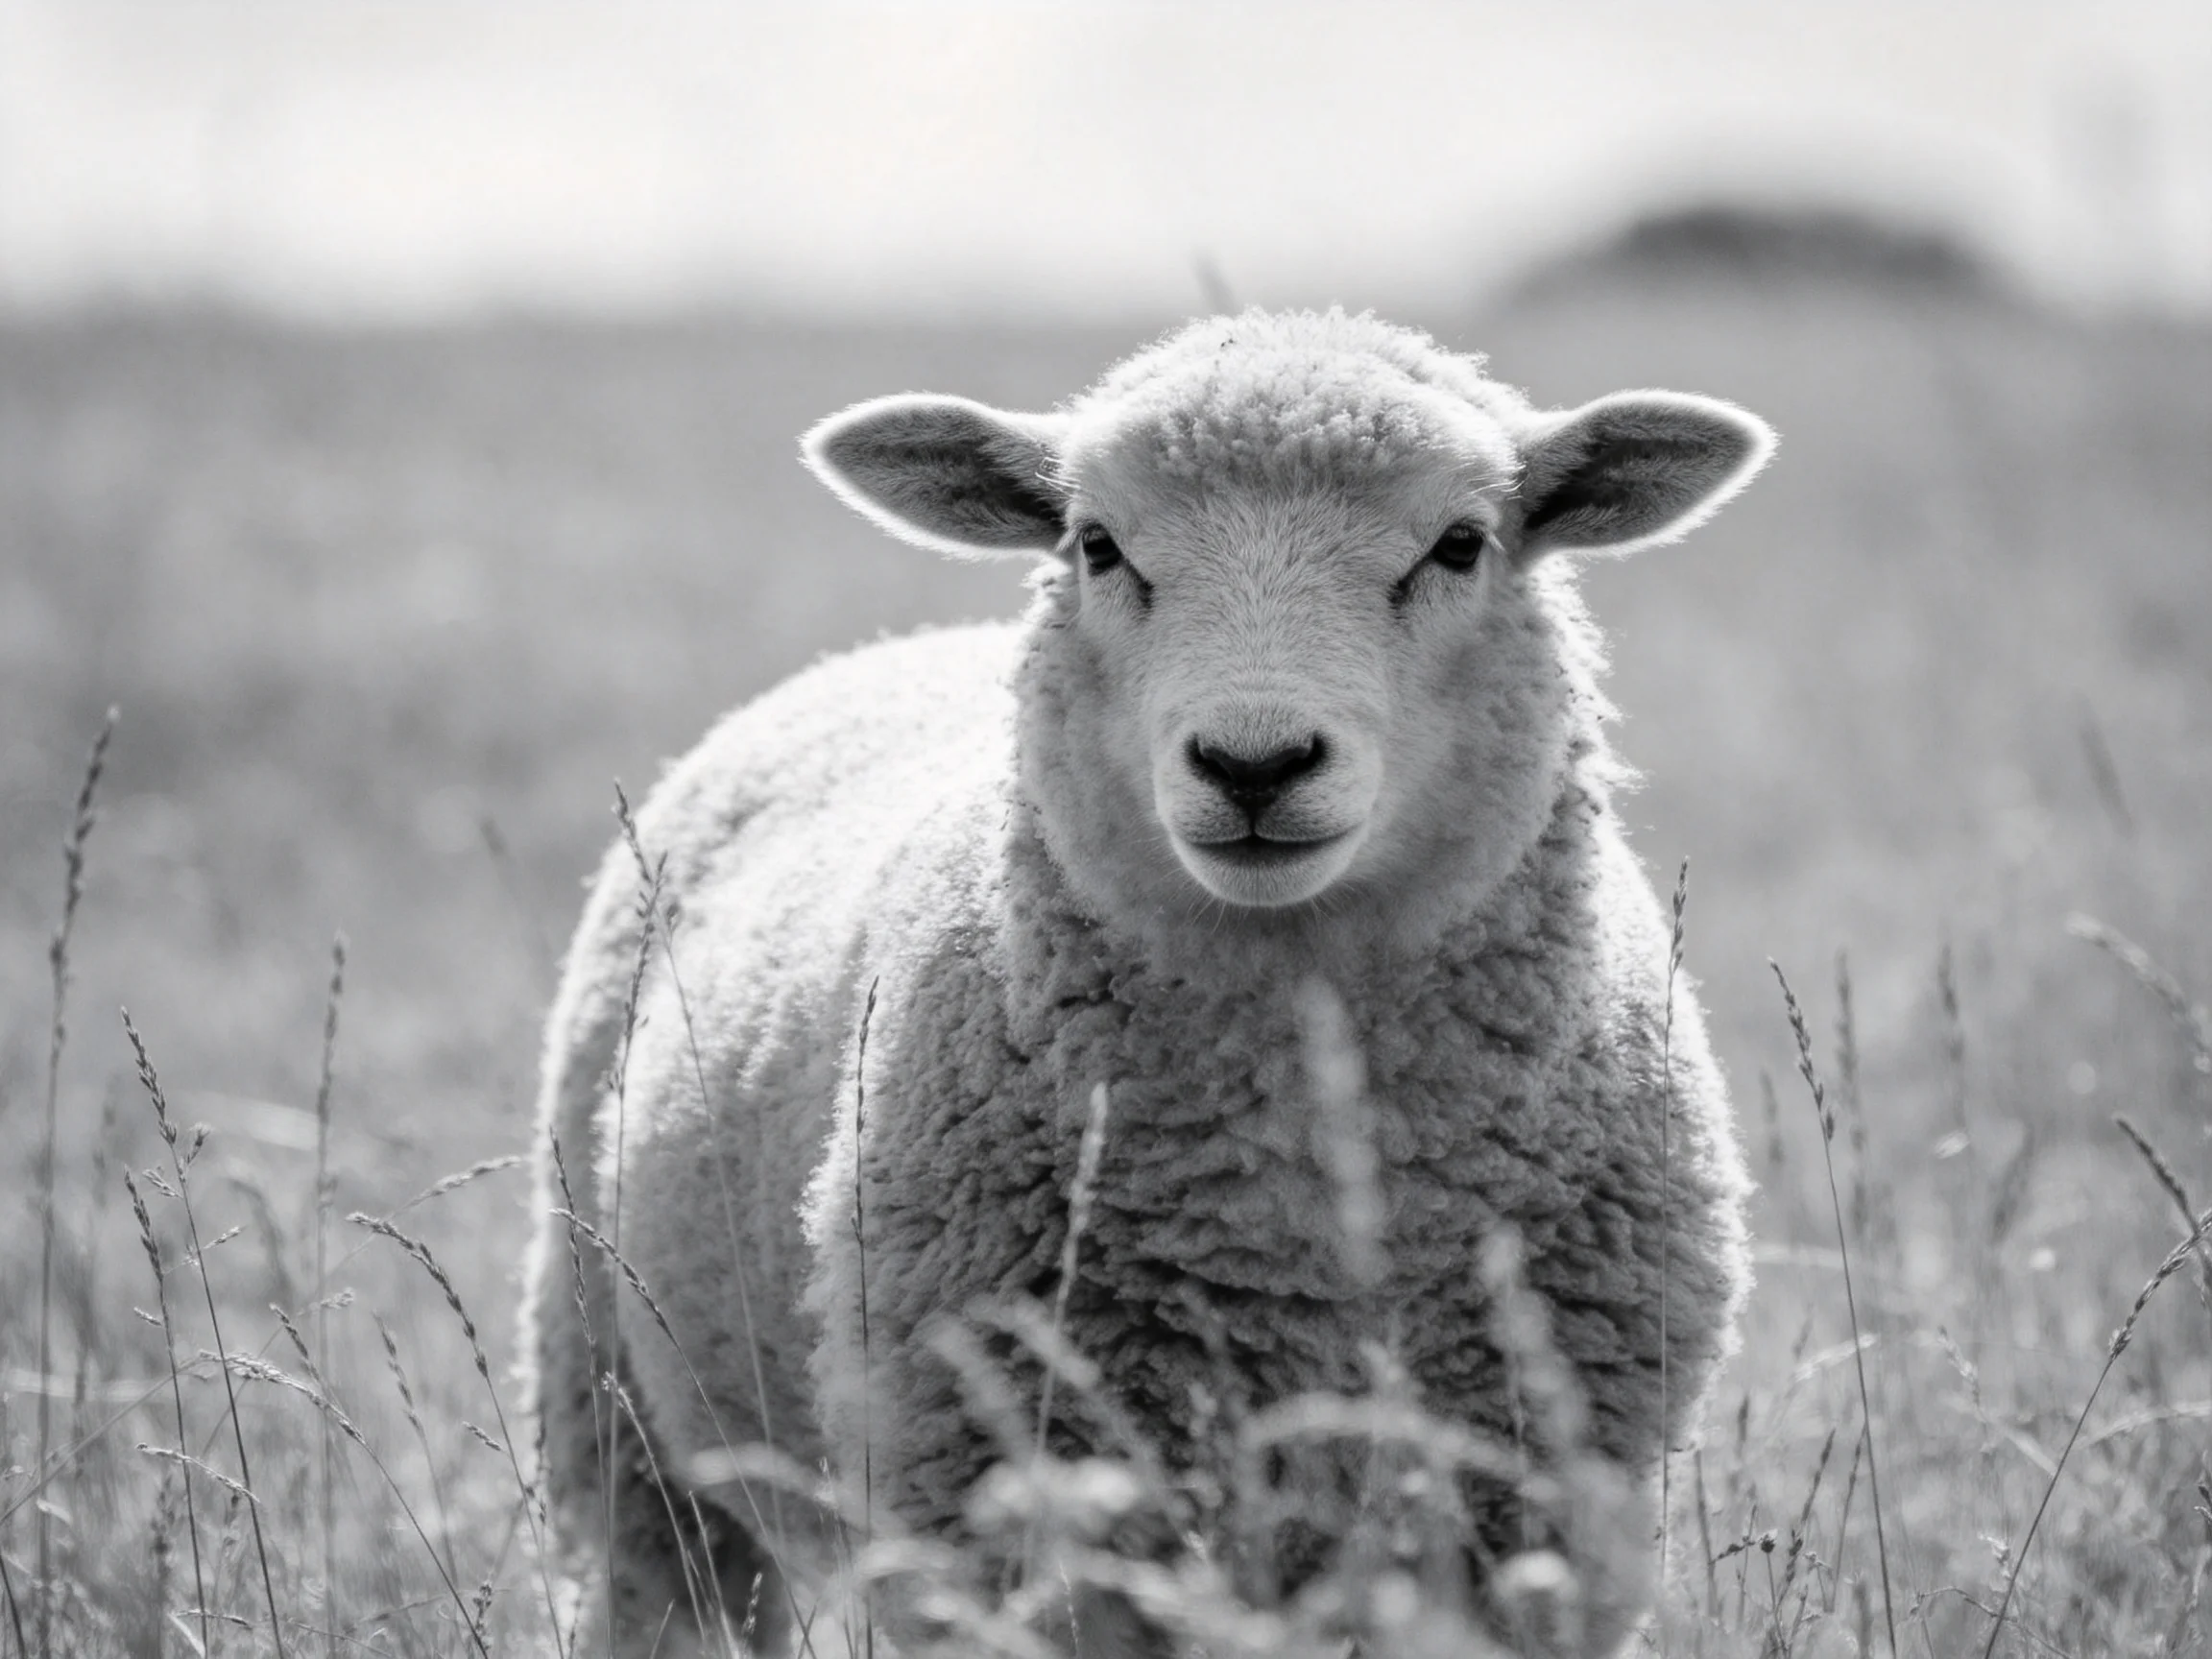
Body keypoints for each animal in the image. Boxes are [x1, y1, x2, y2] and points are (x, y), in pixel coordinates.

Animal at [520, 308, 1770, 1658]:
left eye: (1460, 545)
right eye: (1098, 546)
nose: (1255, 762)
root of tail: (893, 648)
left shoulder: (1532, 1513)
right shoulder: (1010, 1499)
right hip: (619, 1401)